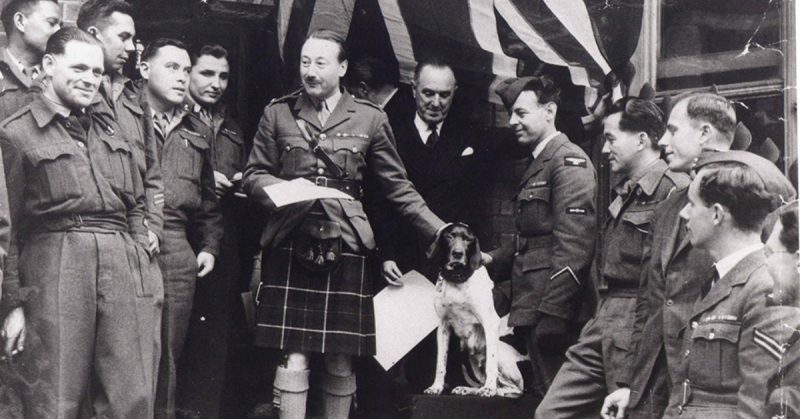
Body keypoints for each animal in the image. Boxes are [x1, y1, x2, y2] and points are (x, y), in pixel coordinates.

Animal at [422, 223, 528, 398]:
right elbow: (440, 363)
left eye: (468, 239)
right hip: (471, 356)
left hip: (501, 354)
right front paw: (436, 387)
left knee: (515, 389)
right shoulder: (443, 327)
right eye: (449, 236)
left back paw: (494, 390)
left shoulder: (490, 323)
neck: (457, 280)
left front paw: (489, 389)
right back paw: (468, 389)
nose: (458, 253)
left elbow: (491, 364)